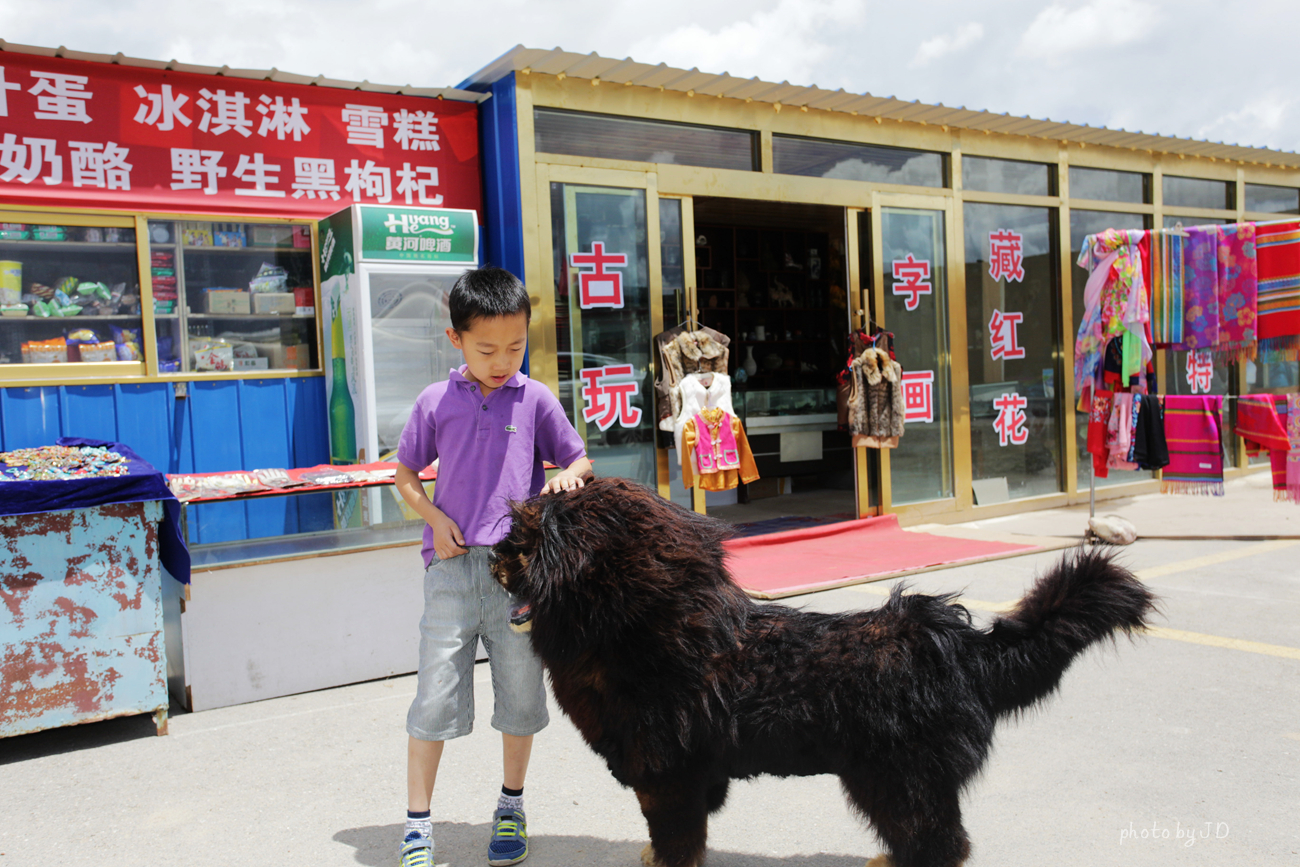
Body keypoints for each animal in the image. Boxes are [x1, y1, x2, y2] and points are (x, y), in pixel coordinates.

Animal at [488, 478, 1159, 863]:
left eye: (526, 545)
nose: (491, 557)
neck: (651, 626)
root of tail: (961, 647)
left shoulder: (667, 774)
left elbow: (675, 840)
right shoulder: (692, 775)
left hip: (898, 780)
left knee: (938, 843)